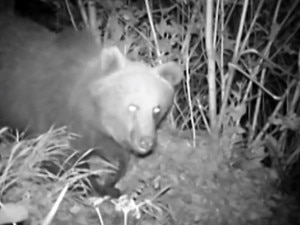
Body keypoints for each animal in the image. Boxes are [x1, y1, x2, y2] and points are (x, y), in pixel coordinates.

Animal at [0, 13, 183, 197]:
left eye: (157, 109)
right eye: (132, 106)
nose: (146, 142)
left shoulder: (102, 133)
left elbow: (115, 156)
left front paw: (110, 178)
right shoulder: (55, 116)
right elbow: (61, 157)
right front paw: (90, 184)